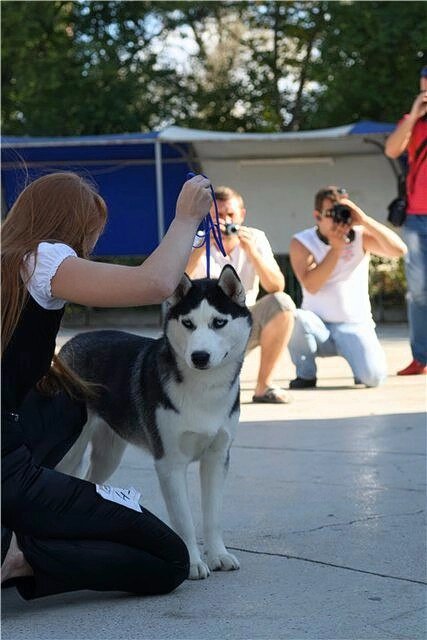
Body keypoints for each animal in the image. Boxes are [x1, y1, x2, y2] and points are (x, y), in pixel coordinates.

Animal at [56, 264, 251, 580]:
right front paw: (193, 562)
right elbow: (183, 519)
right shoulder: (169, 463)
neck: (203, 390)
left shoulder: (217, 457)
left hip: (109, 454)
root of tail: (71, 344)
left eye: (219, 322)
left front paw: (218, 555)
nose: (199, 357)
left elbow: (213, 515)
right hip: (71, 449)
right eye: (188, 323)